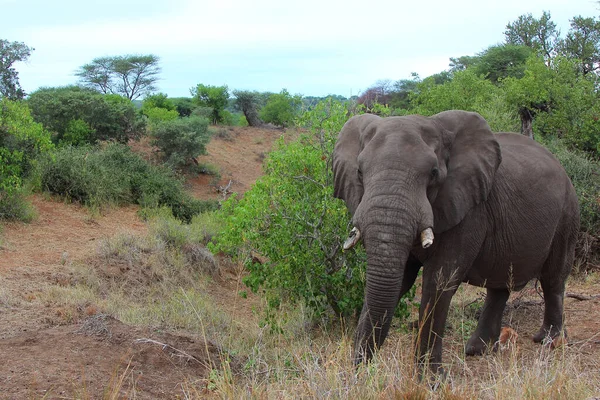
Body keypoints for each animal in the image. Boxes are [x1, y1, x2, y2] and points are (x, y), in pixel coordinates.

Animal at [332, 109, 580, 372]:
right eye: (359, 172)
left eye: (433, 173)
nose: (362, 368)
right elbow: (400, 280)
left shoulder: (469, 210)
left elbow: (438, 282)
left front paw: (430, 378)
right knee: (501, 283)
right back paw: (477, 350)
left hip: (567, 214)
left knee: (553, 278)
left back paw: (548, 340)